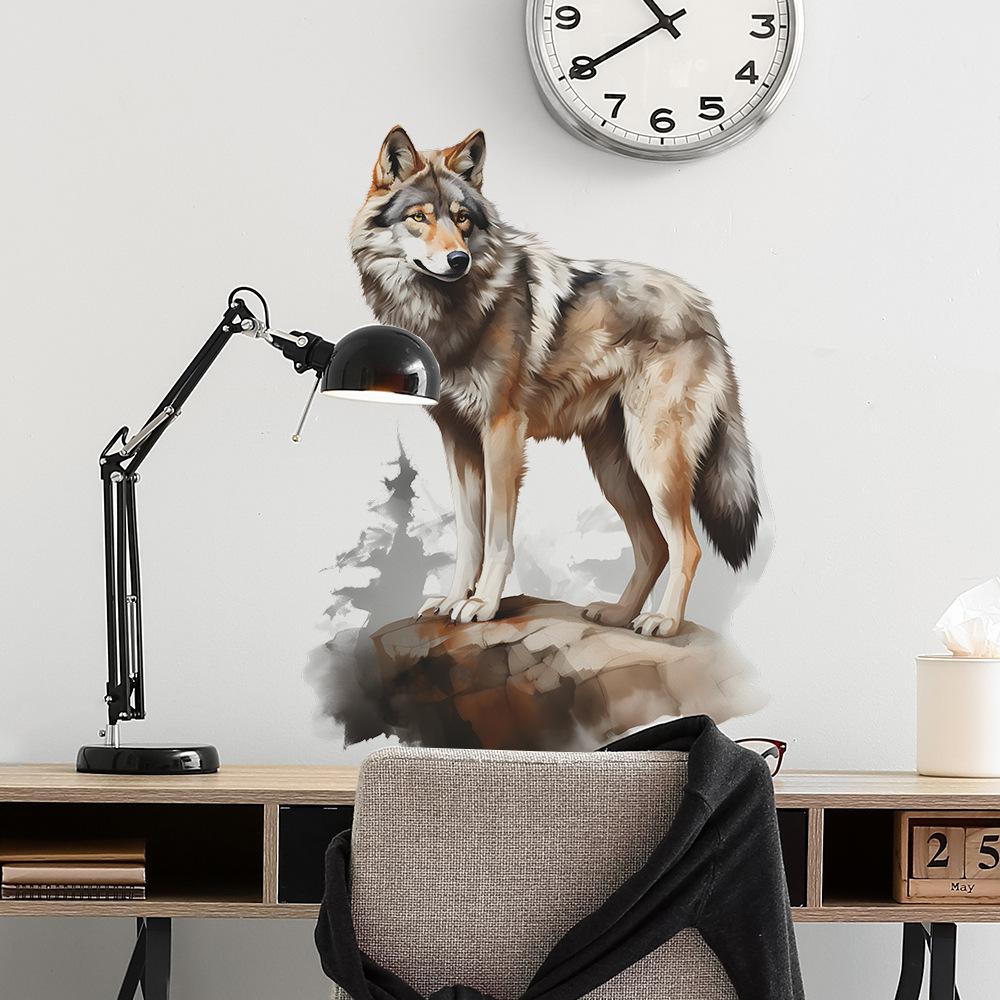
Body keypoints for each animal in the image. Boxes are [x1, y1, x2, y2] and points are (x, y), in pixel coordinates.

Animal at [350, 126, 760, 638]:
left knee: (687, 544)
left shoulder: (502, 433)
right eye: (418, 217)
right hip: (613, 469)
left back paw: (662, 620)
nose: (458, 259)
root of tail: (704, 310)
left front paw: (482, 604)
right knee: (653, 546)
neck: (447, 313)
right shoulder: (457, 438)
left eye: (462, 219)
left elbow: (497, 536)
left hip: (654, 460)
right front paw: (451, 601)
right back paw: (619, 615)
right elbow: (468, 534)